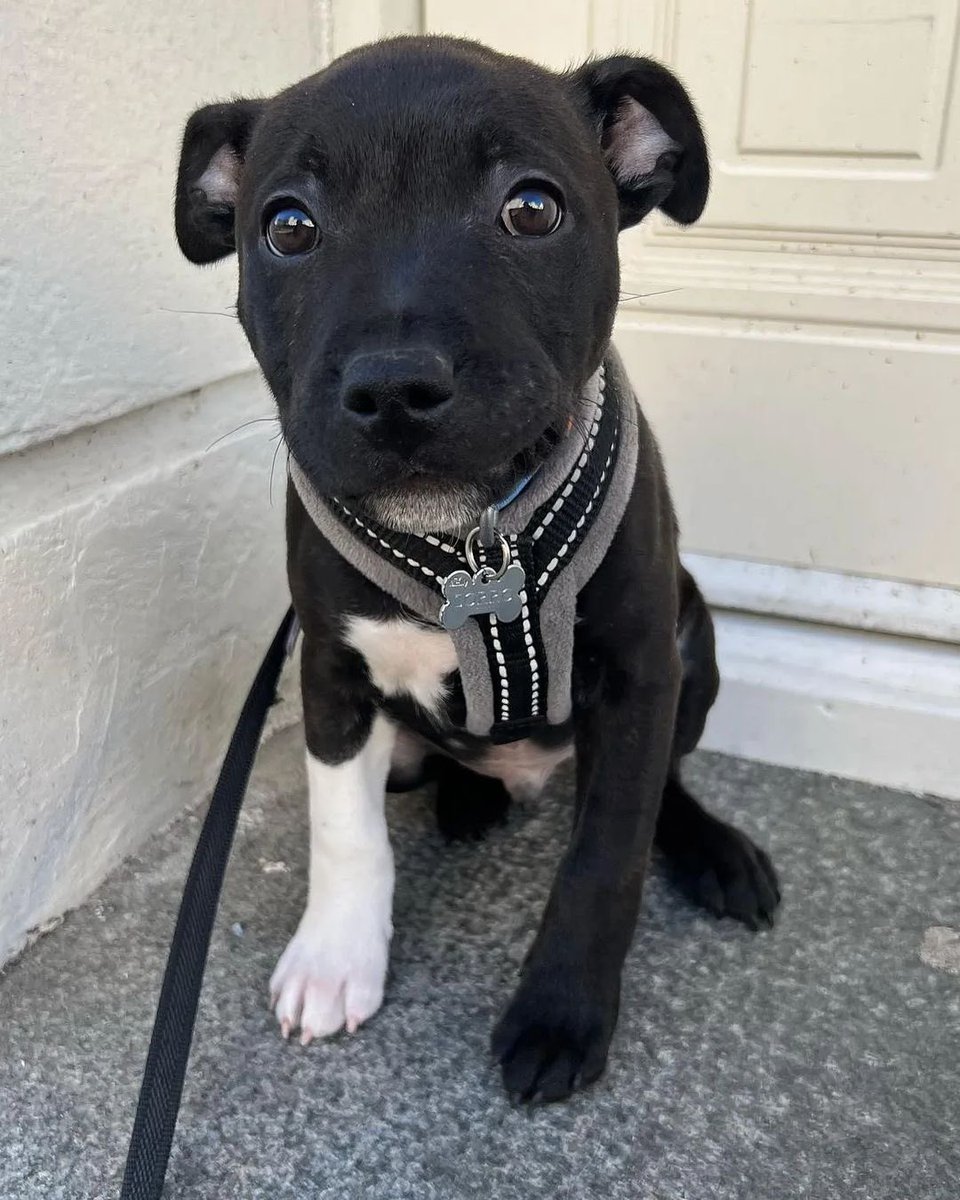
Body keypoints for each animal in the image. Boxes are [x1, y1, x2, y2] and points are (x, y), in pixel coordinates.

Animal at [176, 35, 782, 1104]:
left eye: (531, 210)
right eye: (287, 227)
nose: (392, 385)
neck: (474, 546)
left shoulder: (642, 673)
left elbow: (607, 854)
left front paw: (561, 1014)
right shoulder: (330, 673)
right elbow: (343, 829)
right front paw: (334, 959)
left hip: (695, 646)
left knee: (662, 783)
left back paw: (711, 851)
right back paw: (471, 798)